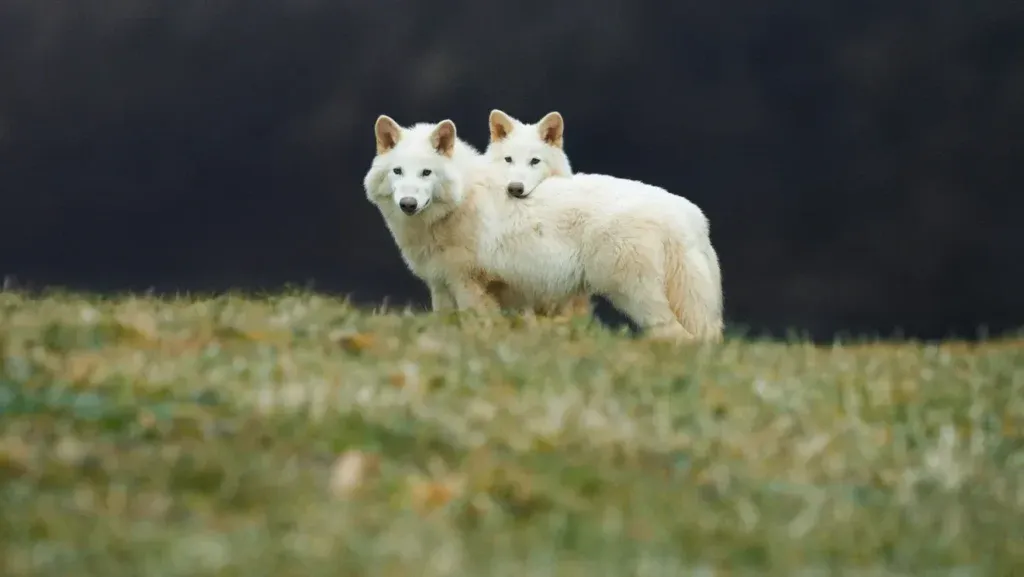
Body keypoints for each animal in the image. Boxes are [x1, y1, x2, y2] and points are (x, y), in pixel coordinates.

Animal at [361, 115, 589, 318]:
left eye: (426, 172)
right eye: (397, 171)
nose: (408, 203)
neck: (461, 200)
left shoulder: (468, 284)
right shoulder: (440, 284)